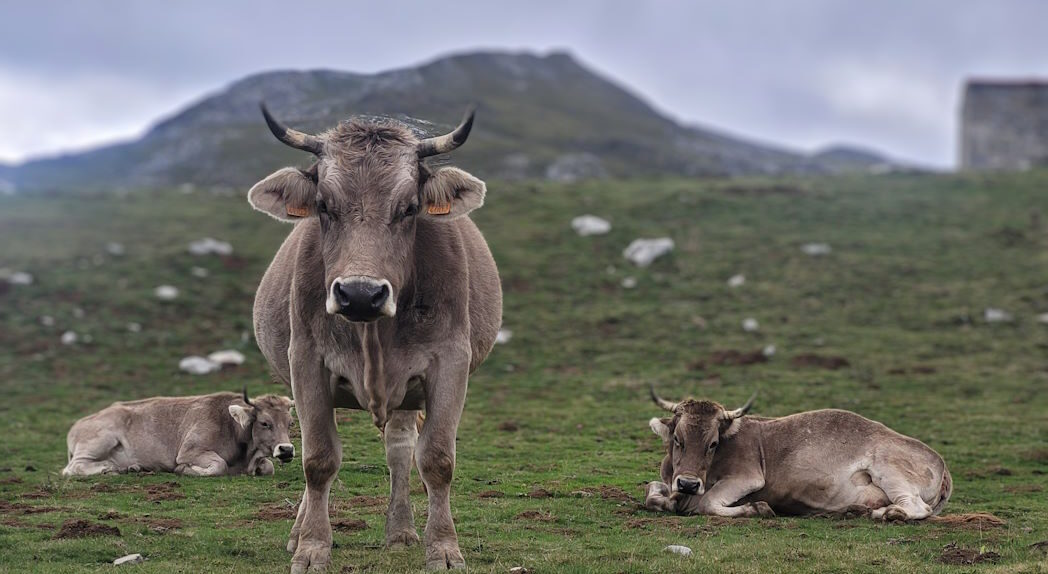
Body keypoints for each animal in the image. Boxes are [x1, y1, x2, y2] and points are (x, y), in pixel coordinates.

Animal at [62, 387, 295, 477]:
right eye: (264, 423)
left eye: (291, 423)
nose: (286, 449)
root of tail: (77, 424)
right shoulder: (189, 451)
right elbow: (218, 465)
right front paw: (184, 470)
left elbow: (268, 467)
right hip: (101, 439)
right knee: (72, 468)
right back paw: (108, 468)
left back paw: (130, 467)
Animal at [641, 387, 955, 521]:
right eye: (678, 439)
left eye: (713, 443)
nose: (688, 483)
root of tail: (942, 464)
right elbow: (652, 493)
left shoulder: (747, 476)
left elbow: (707, 502)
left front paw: (757, 508)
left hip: (890, 469)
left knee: (916, 507)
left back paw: (885, 513)